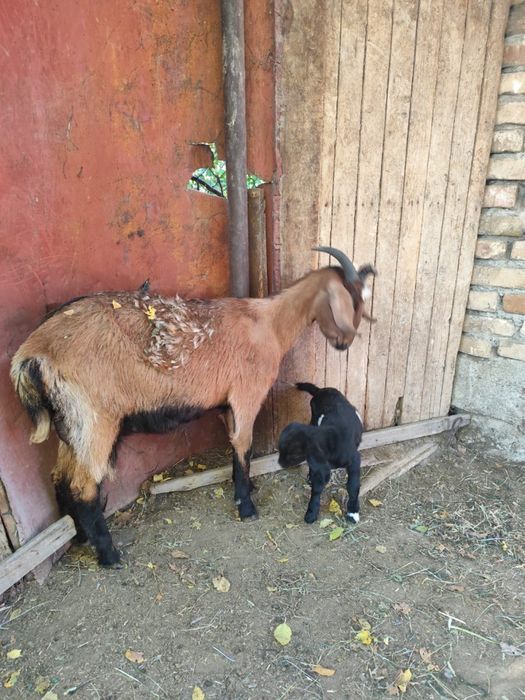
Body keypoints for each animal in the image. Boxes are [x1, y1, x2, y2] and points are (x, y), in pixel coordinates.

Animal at [278, 382, 363, 524]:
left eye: (293, 455)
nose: (280, 463)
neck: (332, 438)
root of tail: (320, 390)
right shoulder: (317, 464)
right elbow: (317, 489)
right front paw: (312, 512)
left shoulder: (354, 460)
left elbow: (353, 486)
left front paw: (352, 512)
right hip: (313, 417)